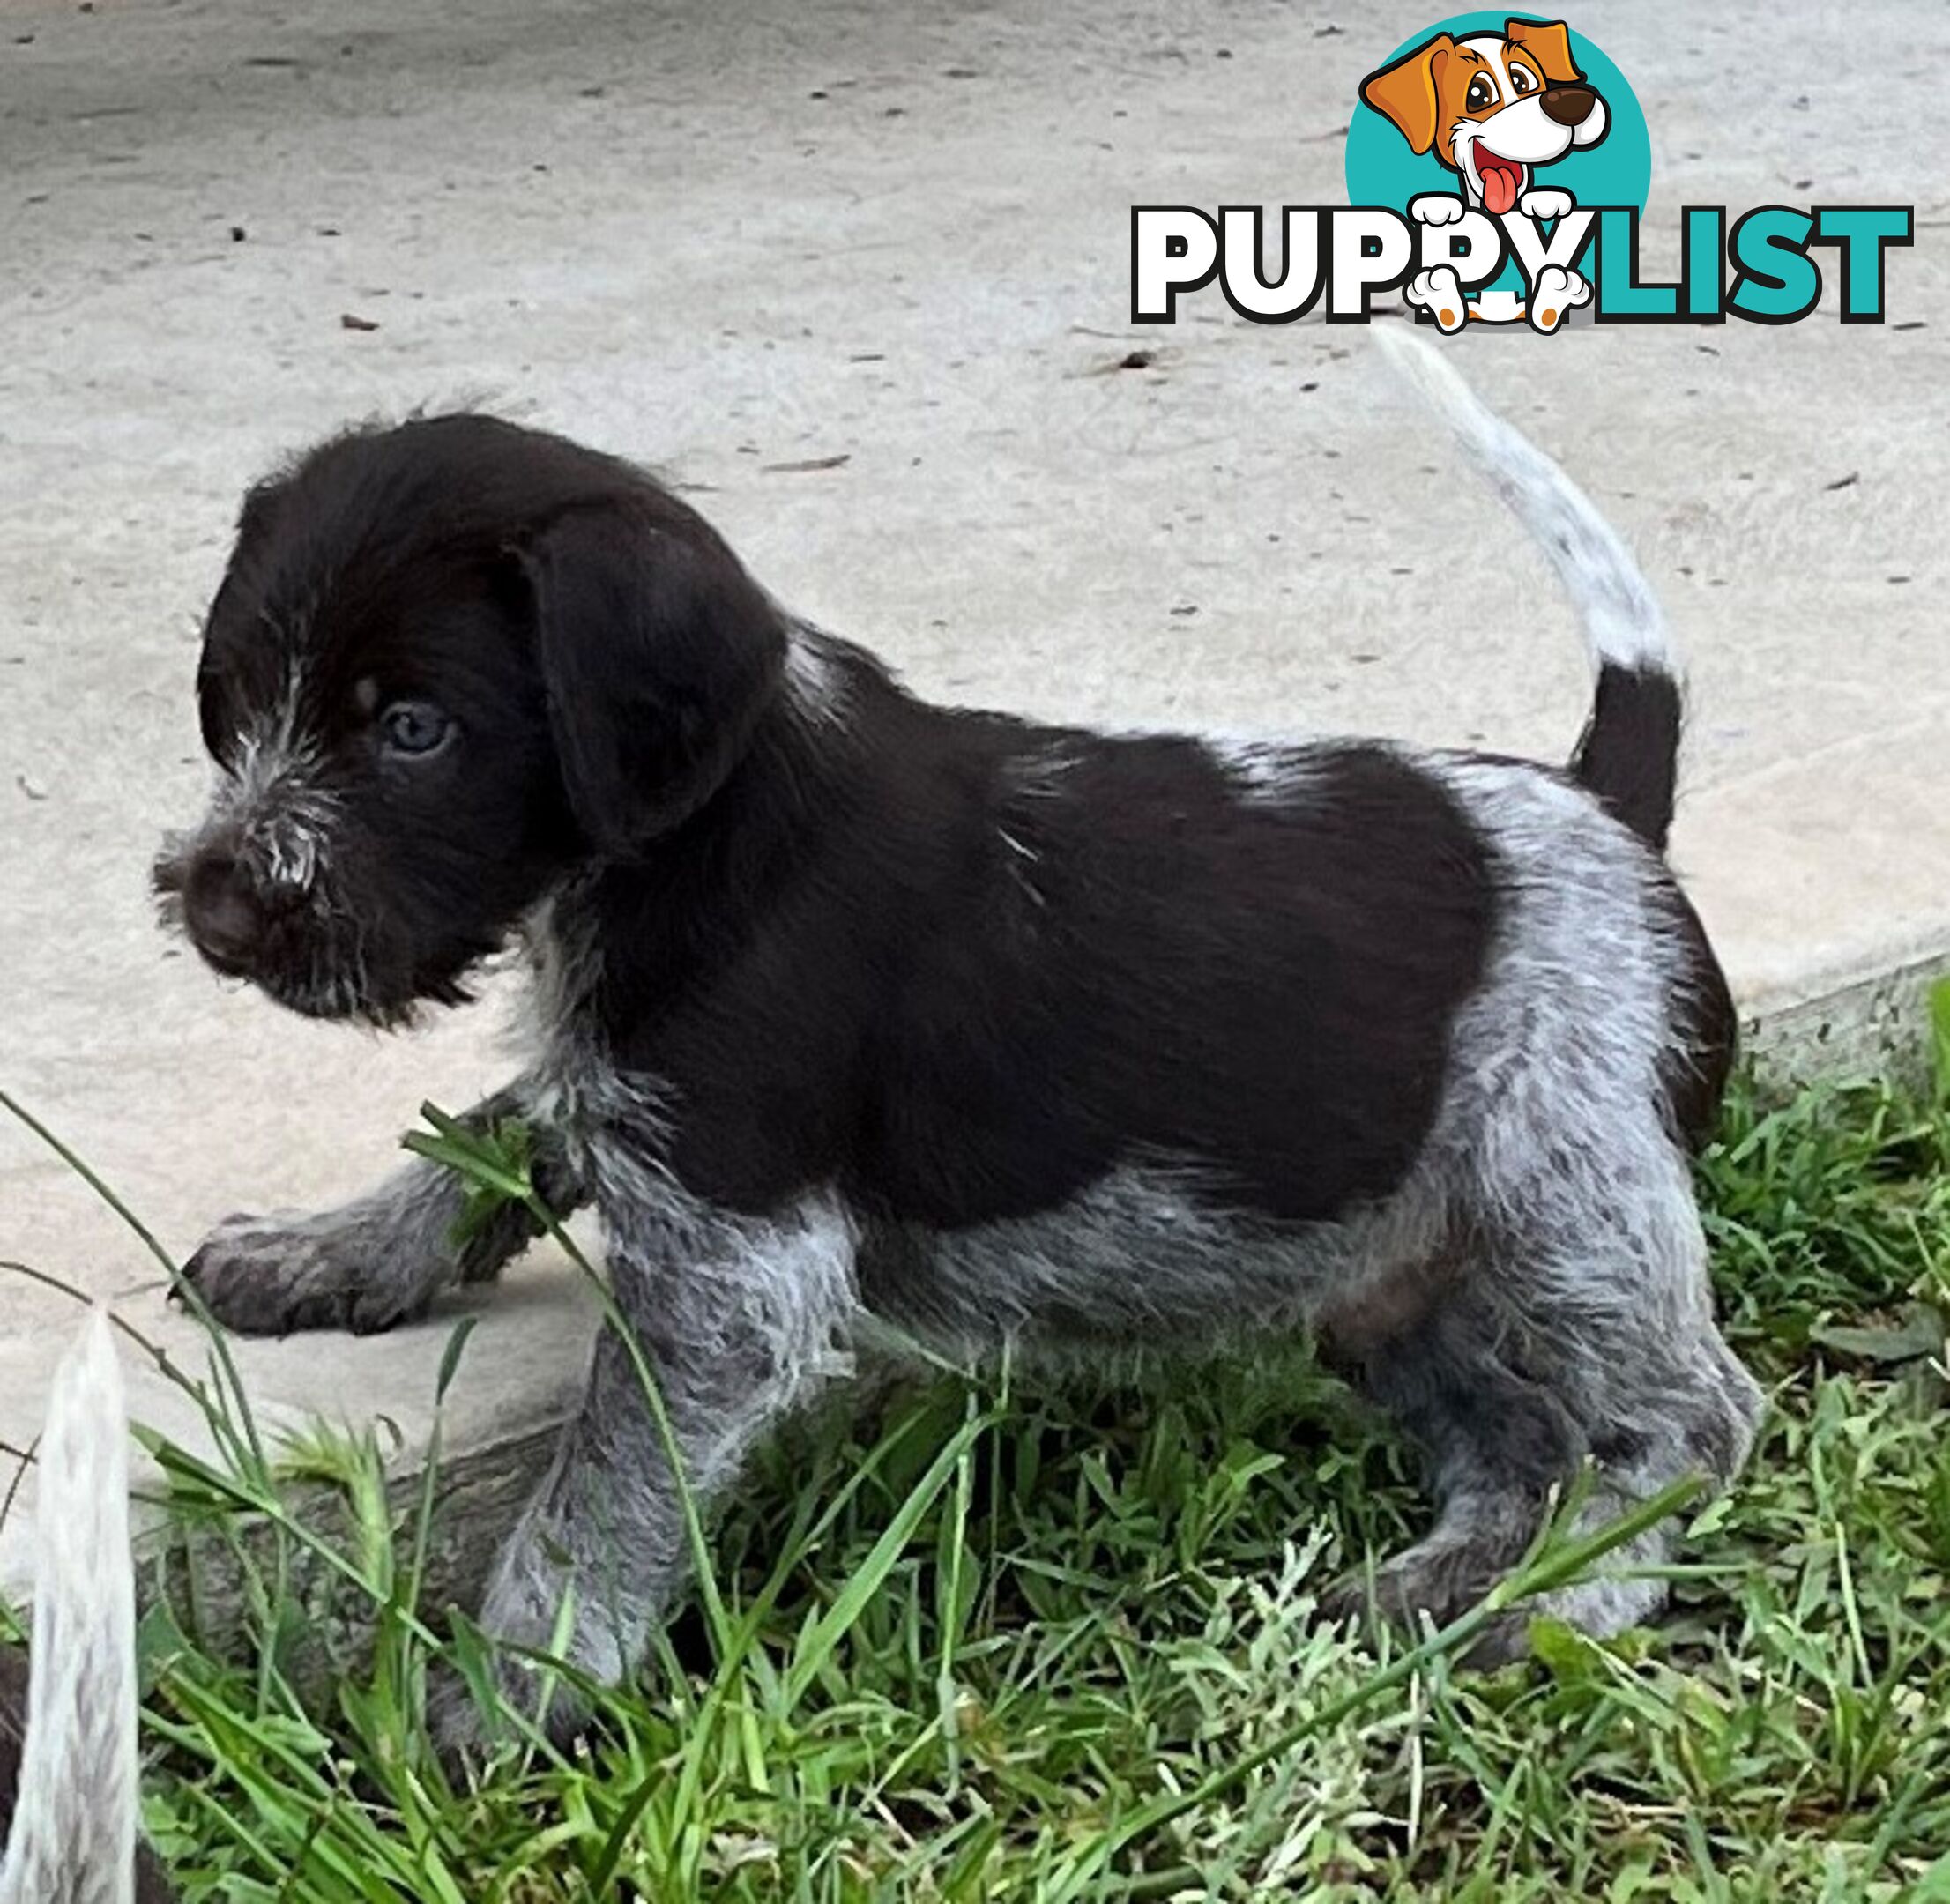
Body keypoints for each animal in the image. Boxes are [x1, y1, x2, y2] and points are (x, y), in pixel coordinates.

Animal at [155, 327, 1770, 1740]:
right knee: (1524, 1437)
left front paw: (506, 1697)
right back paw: (1452, 1582)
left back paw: (1565, 1602)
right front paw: (326, 1251)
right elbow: (490, 1134)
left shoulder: (730, 1274)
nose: (212, 906)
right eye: (232, 703)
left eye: (413, 730)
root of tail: (1606, 807)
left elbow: (595, 1497)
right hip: (1376, 1272)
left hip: (1568, 1200)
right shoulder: (636, 1098)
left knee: (1686, 1422)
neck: (706, 829)